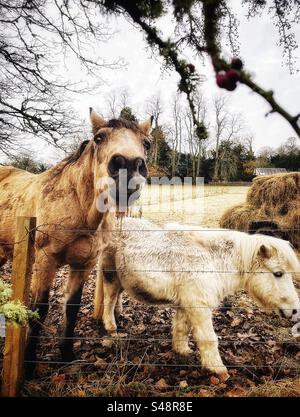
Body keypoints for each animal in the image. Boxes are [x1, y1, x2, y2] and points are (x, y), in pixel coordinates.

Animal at [0, 109, 151, 376]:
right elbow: (40, 308)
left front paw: (67, 355)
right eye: (99, 138)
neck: (78, 209)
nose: (128, 168)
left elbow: (71, 308)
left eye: (147, 144)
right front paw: (29, 364)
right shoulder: (45, 261)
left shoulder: (84, 265)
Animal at [96, 219, 300, 378]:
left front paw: (182, 351)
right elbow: (208, 338)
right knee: (109, 300)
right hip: (110, 276)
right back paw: (112, 328)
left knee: (116, 298)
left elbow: (181, 329)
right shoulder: (198, 306)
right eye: (278, 273)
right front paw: (218, 370)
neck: (211, 259)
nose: (295, 310)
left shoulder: (186, 304)